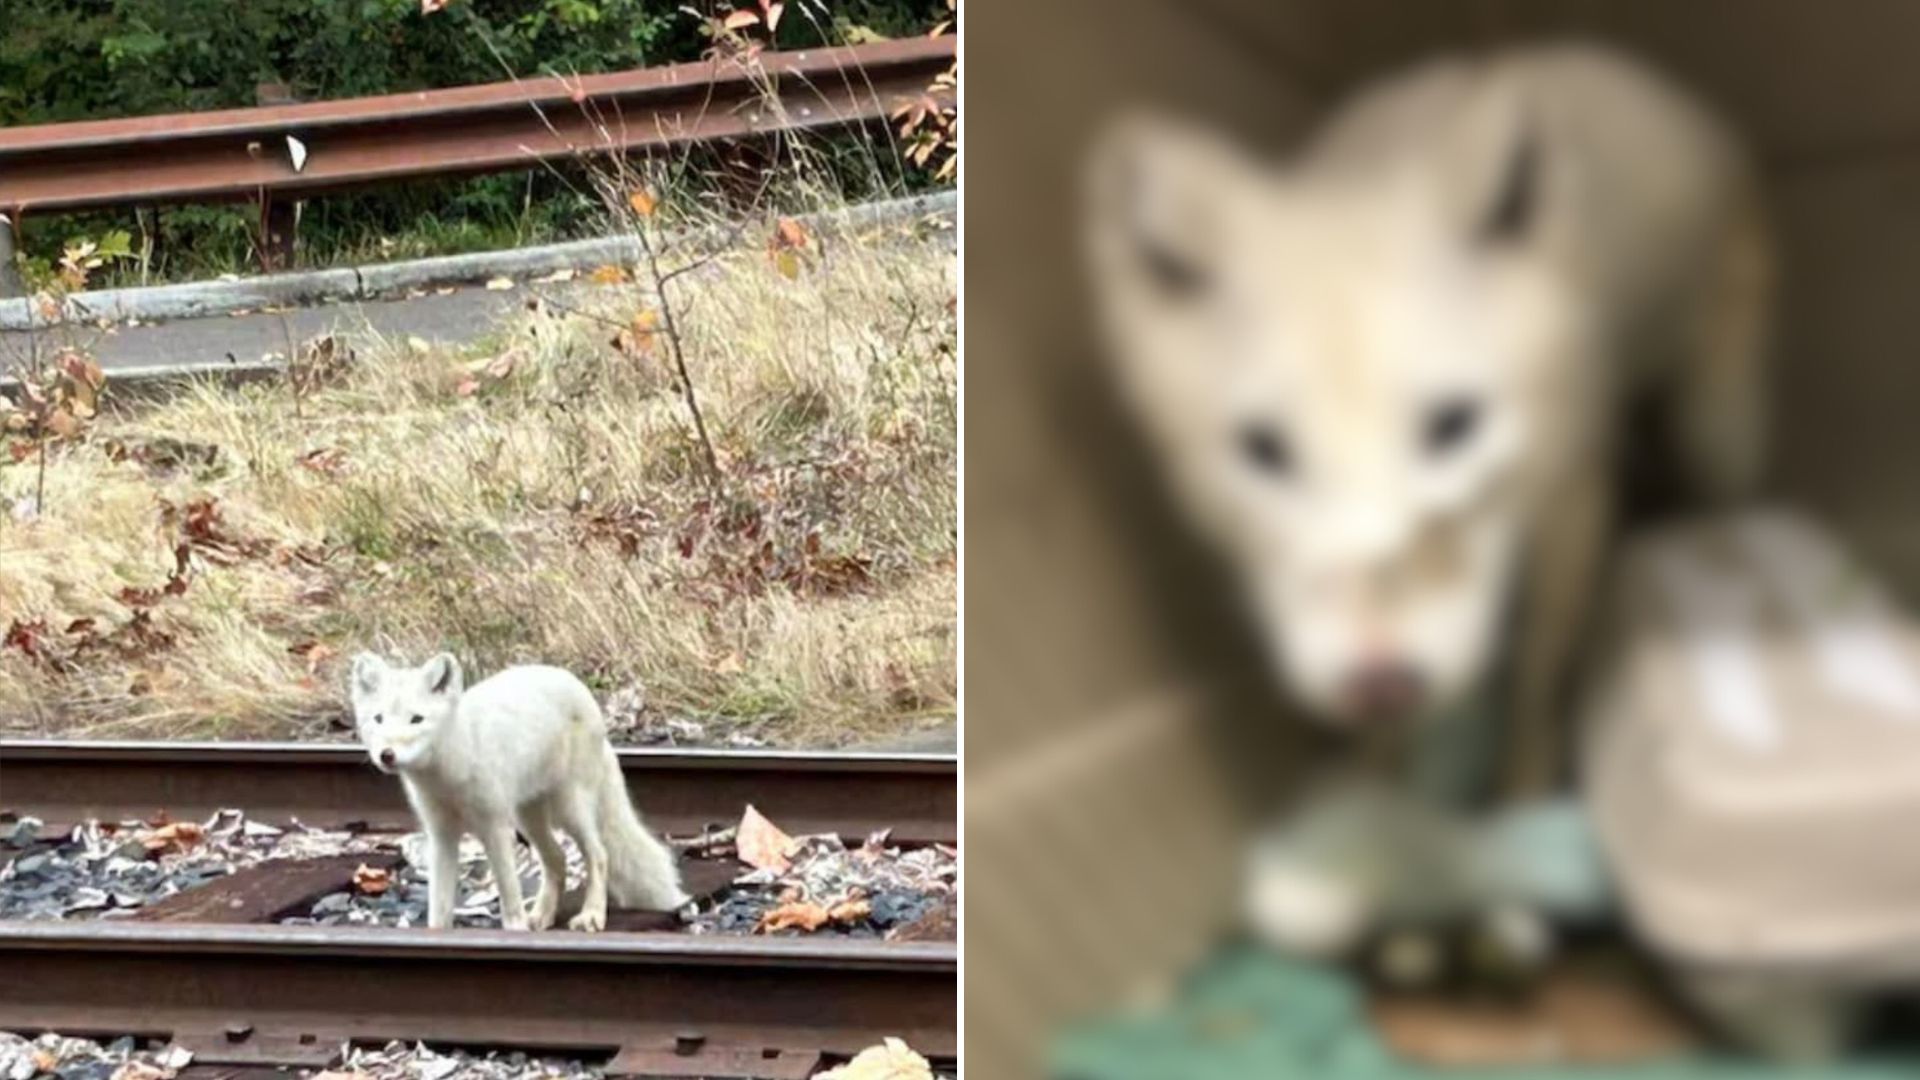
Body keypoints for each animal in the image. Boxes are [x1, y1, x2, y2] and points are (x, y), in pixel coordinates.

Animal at [348, 653, 690, 931]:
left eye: (416, 719)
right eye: (378, 719)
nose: (387, 755)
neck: (450, 772)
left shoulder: (495, 828)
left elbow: (509, 895)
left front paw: (516, 930)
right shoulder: (441, 834)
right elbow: (439, 907)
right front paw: (439, 934)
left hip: (569, 810)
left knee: (599, 855)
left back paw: (591, 916)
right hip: (529, 816)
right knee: (558, 859)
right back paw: (541, 917)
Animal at [1084, 43, 1773, 799]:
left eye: (1453, 426)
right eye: (1266, 450)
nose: (1381, 685)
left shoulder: (1575, 501)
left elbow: (1535, 673)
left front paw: (1522, 789)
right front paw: (1376, 783)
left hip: (1717, 428)